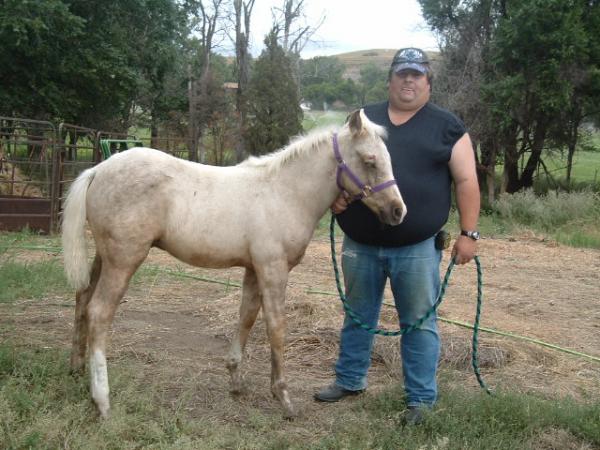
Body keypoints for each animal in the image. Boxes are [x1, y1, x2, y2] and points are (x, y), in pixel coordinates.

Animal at [61, 109, 406, 418]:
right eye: (370, 160)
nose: (398, 211)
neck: (284, 193)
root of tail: (99, 170)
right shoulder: (273, 269)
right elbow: (276, 327)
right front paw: (283, 398)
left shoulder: (254, 269)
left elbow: (247, 318)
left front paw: (237, 381)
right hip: (124, 259)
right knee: (99, 312)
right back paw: (102, 401)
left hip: (105, 256)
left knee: (83, 299)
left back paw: (77, 369)